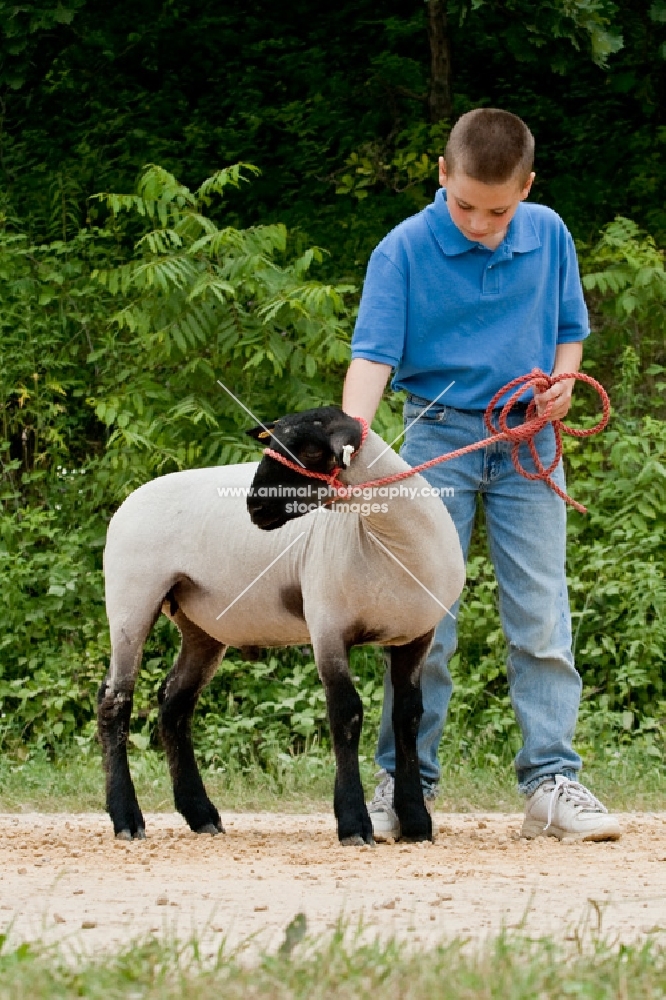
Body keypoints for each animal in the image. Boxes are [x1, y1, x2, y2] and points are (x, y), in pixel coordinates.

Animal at [97, 406, 462, 844]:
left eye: (308, 451)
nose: (254, 507)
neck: (384, 542)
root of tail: (131, 499)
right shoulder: (328, 626)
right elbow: (346, 714)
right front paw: (354, 825)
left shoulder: (417, 635)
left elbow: (408, 718)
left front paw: (416, 822)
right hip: (131, 596)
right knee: (115, 701)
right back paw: (127, 819)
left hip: (201, 625)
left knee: (174, 704)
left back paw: (201, 814)